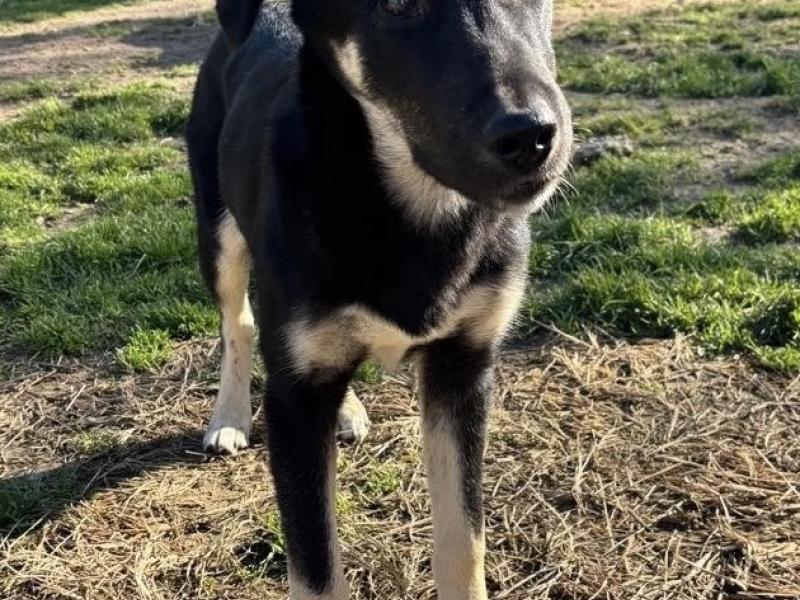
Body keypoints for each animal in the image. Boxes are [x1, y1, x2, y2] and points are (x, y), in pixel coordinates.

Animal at [187, 0, 572, 597]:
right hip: (219, 233)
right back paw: (228, 419)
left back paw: (344, 410)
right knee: (239, 323)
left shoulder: (463, 370)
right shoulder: (294, 406)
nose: (531, 138)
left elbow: (463, 546)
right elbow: (317, 572)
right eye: (397, 6)